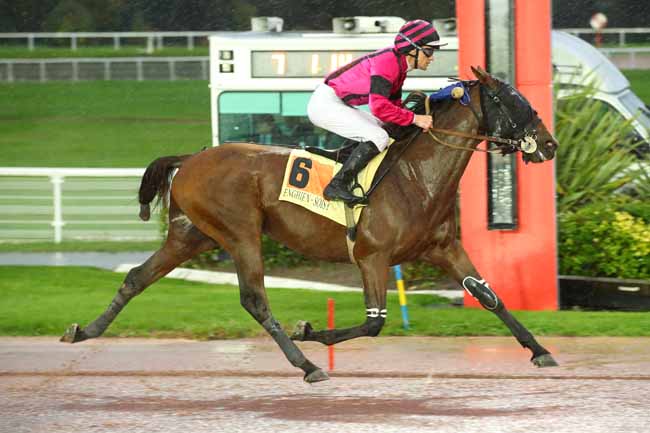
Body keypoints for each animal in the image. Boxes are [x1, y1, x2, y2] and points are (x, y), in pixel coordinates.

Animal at [59, 66, 556, 382]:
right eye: (513, 100)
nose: (548, 145)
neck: (417, 177)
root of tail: (192, 158)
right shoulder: (372, 257)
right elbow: (373, 323)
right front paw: (312, 333)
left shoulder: (443, 249)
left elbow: (490, 297)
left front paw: (541, 351)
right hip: (240, 233)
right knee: (255, 299)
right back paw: (308, 366)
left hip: (191, 236)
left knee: (137, 277)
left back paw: (84, 331)